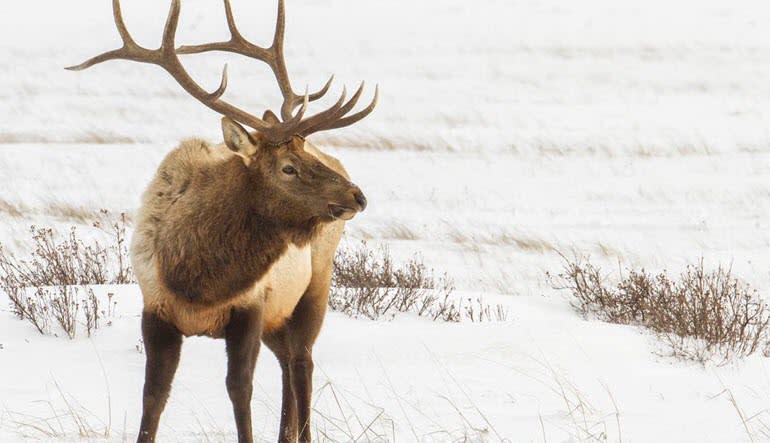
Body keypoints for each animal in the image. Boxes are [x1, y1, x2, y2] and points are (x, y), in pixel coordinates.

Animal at [66, 1, 376, 442]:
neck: (198, 280)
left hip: (315, 283)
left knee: (302, 362)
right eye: (288, 167)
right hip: (279, 315)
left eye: (301, 159)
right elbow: (153, 395)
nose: (356, 195)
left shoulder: (251, 307)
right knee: (288, 362)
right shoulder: (155, 309)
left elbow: (239, 389)